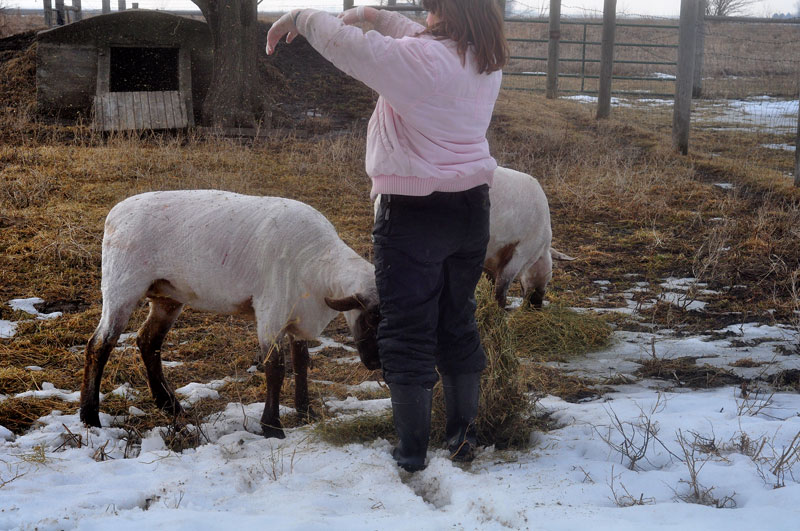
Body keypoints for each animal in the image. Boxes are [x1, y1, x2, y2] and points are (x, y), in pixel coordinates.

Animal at [79, 190, 380, 439]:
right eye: (370, 318)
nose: (376, 363)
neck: (319, 264)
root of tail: (115, 214)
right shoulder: (271, 311)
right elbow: (276, 368)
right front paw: (272, 427)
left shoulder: (296, 318)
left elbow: (302, 363)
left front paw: (306, 413)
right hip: (121, 287)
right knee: (99, 345)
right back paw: (90, 417)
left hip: (167, 296)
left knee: (148, 341)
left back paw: (170, 406)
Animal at [373, 166, 573, 310]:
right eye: (549, 277)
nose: (536, 304)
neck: (540, 251)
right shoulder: (522, 251)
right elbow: (501, 289)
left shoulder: (492, 257)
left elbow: (492, 282)